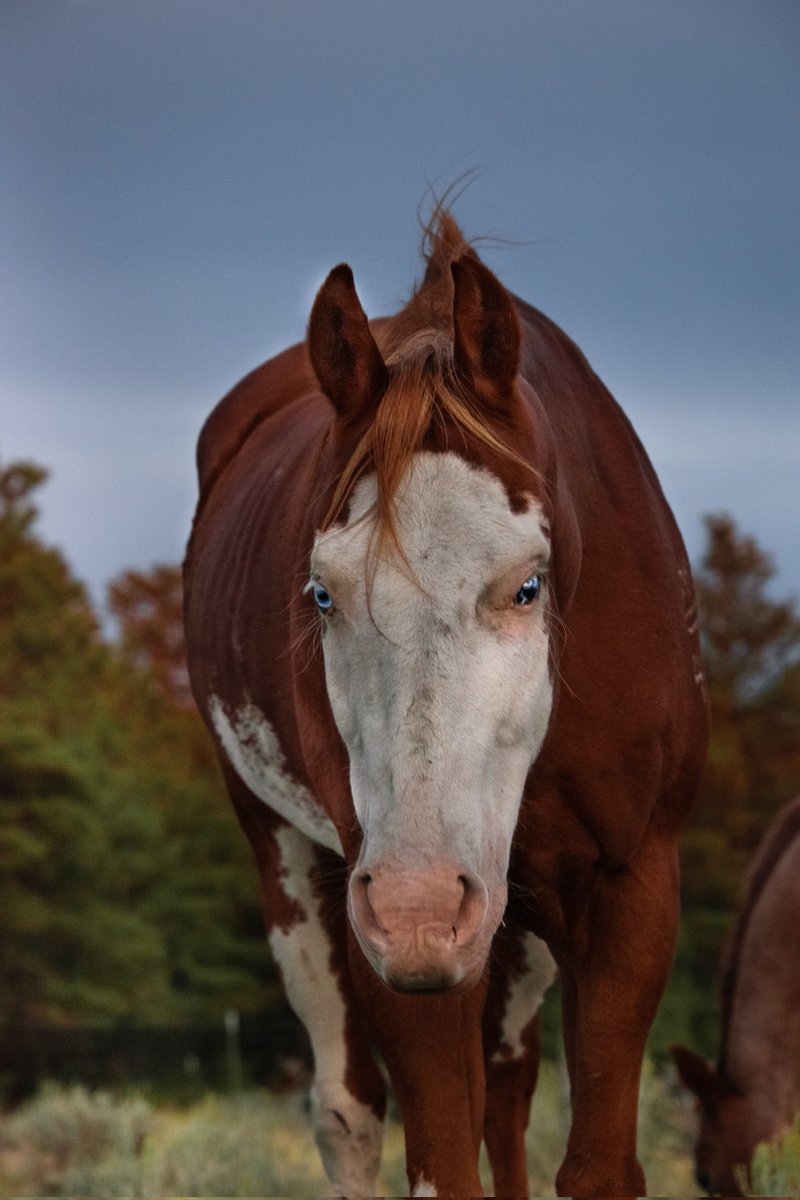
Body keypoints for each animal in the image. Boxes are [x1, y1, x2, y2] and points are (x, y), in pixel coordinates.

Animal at [184, 210, 708, 1197]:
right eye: (322, 594)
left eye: (529, 585)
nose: (420, 906)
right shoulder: (392, 931)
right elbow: (437, 1149)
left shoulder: (631, 885)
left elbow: (593, 1160)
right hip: (297, 871)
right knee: (348, 1111)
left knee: (504, 1086)